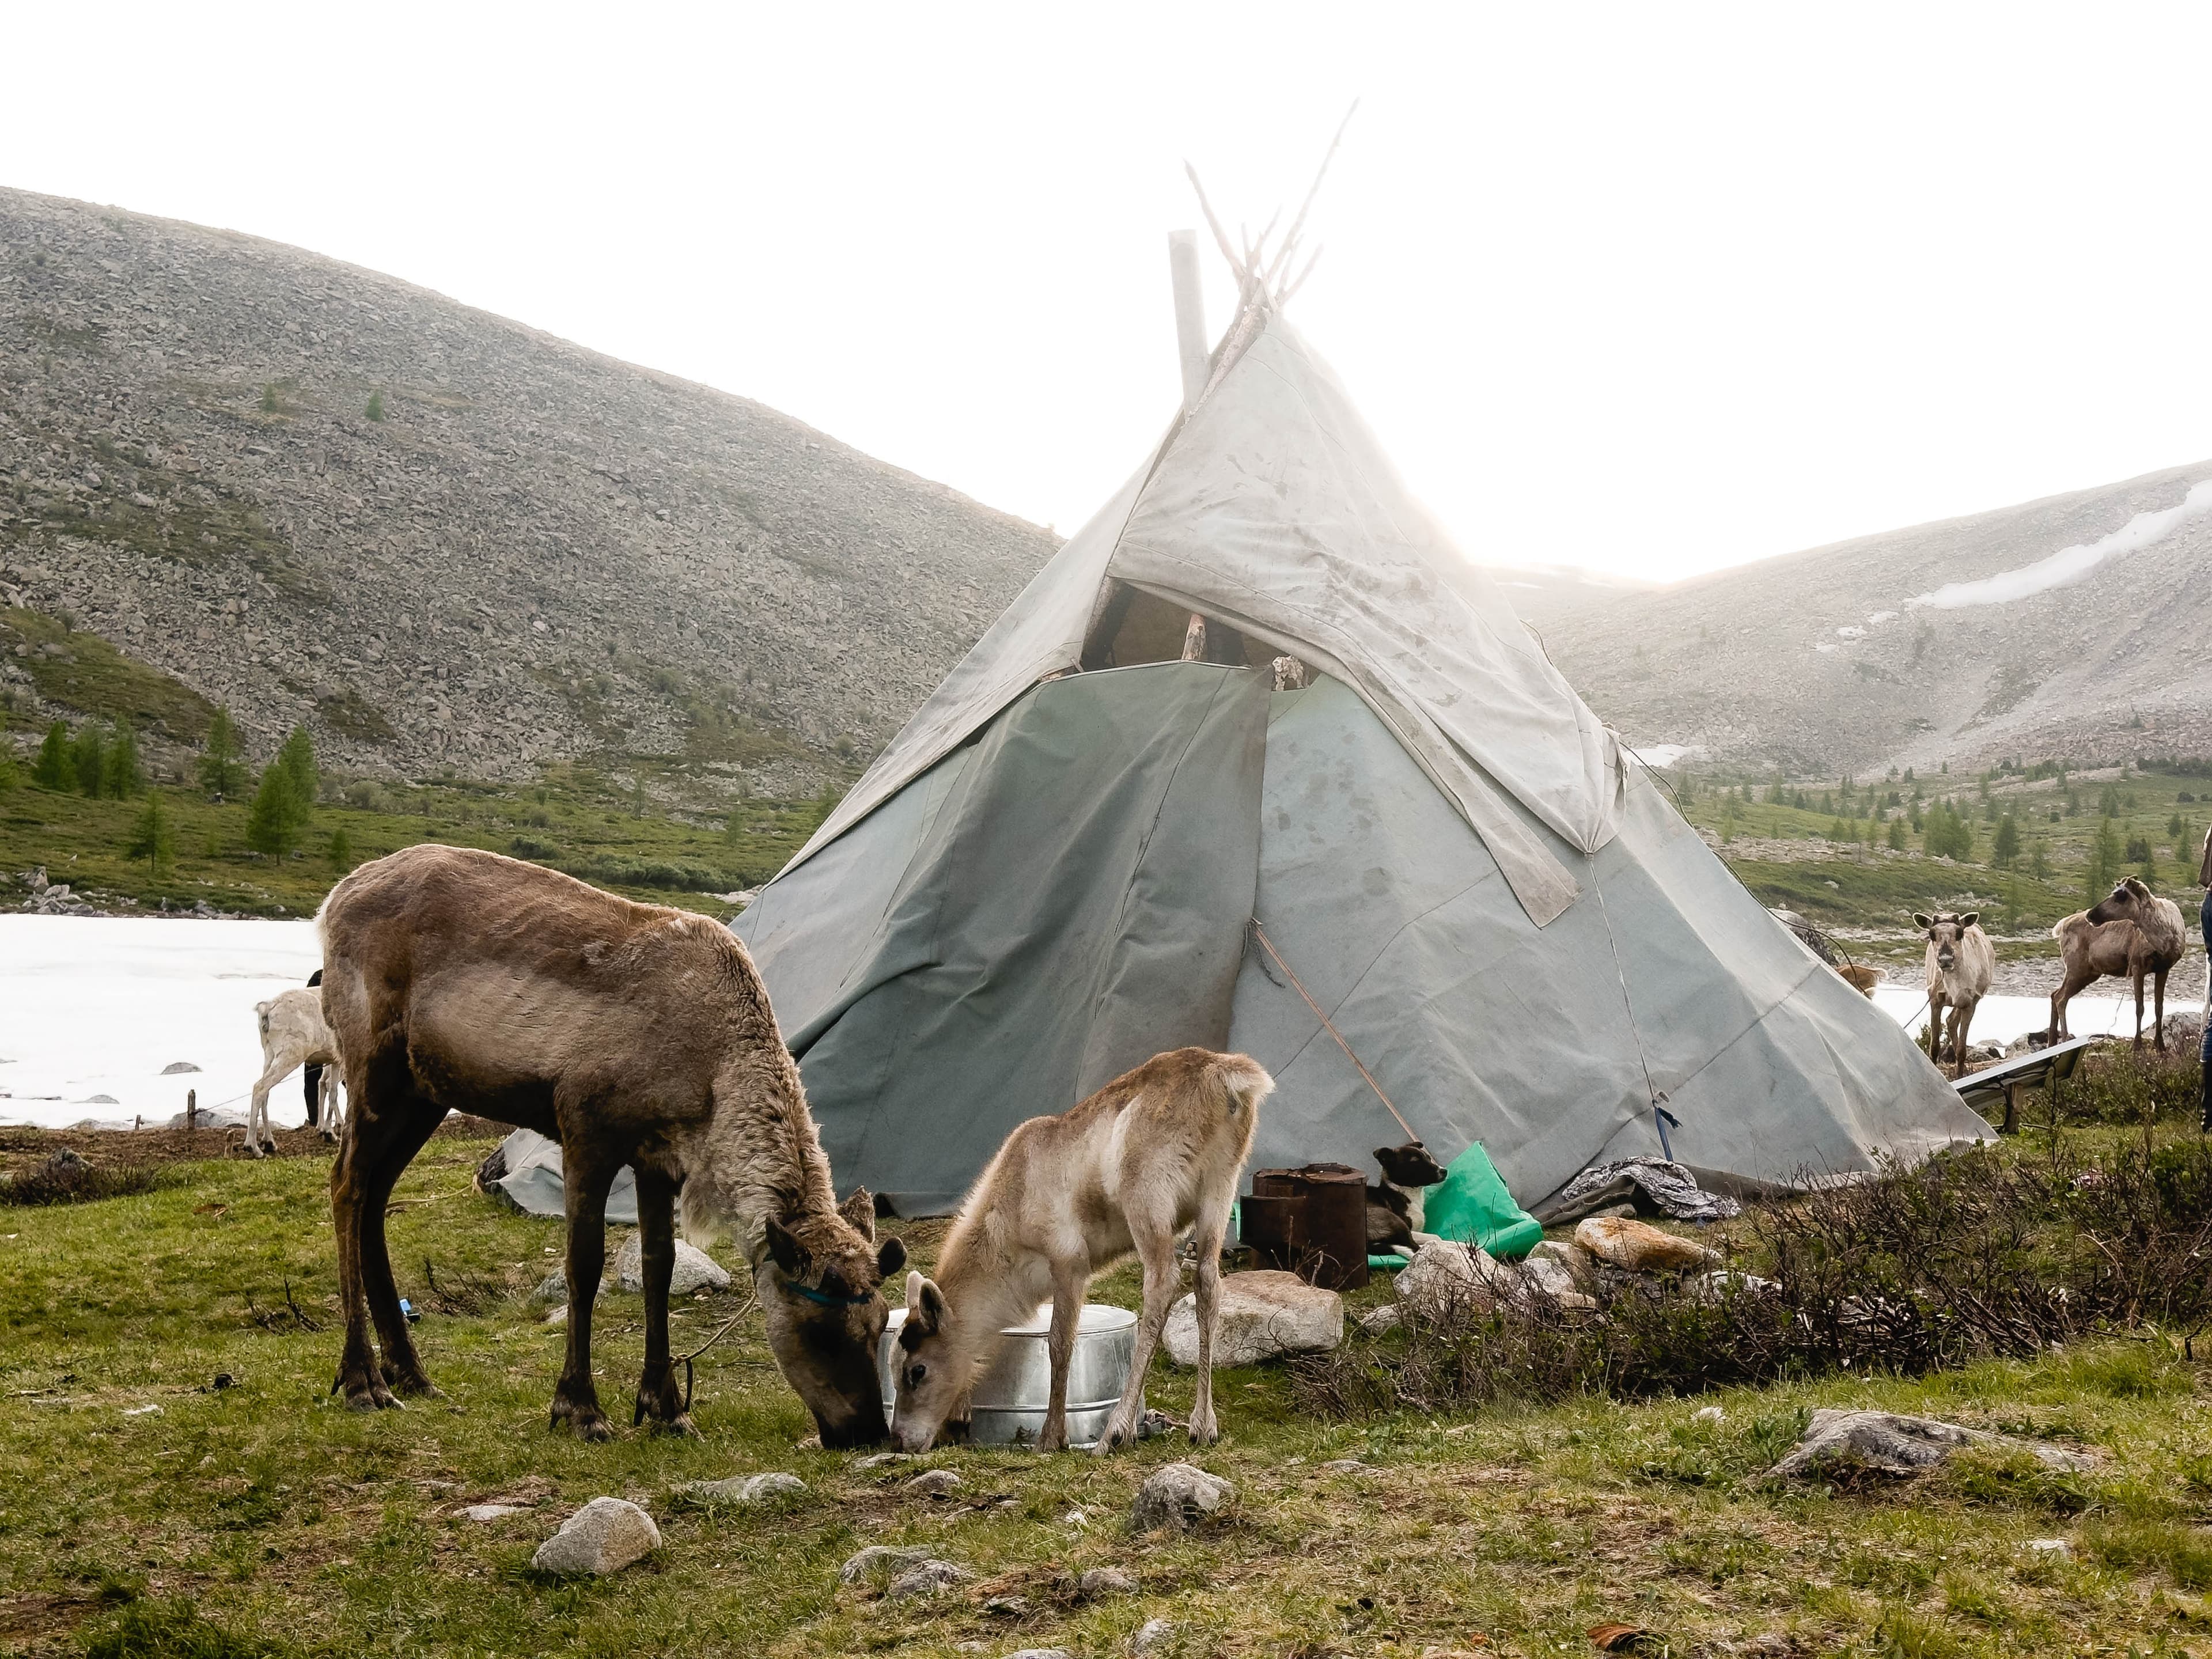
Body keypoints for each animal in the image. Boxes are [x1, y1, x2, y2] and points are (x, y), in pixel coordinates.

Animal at [316, 844, 905, 1445]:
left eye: (882, 1322)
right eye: (821, 1330)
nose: (867, 1432)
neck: (712, 1072)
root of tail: (334, 899)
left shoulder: (659, 1161)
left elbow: (659, 1268)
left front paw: (667, 1408)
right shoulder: (584, 1131)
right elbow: (584, 1265)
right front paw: (579, 1407)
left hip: (423, 1093)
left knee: (376, 1197)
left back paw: (410, 1372)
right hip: (373, 1066)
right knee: (346, 1184)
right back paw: (363, 1379)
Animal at [890, 1047, 1272, 1456]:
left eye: (917, 1370)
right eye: (892, 1366)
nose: (899, 1440)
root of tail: (1222, 1073)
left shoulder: (1069, 1258)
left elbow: (1059, 1343)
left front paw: (1052, 1436)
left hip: (1146, 1193)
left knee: (1163, 1280)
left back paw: (1117, 1430)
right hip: (1220, 1187)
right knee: (1208, 1283)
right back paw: (1203, 1424)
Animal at [1914, 910, 1994, 1079]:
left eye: (1960, 933)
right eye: (1931, 934)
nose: (1945, 960)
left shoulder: (1970, 1002)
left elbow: (1962, 1050)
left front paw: (1959, 1075)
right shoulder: (1935, 1000)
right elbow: (1934, 1046)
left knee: (1952, 1022)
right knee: (1950, 1021)